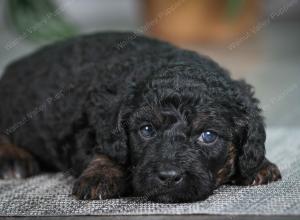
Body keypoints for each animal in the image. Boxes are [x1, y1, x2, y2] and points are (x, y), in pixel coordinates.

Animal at [0, 31, 282, 202]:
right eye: (147, 130)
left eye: (208, 136)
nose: (168, 177)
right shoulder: (89, 121)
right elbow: (103, 149)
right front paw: (102, 174)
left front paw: (260, 164)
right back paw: (13, 159)